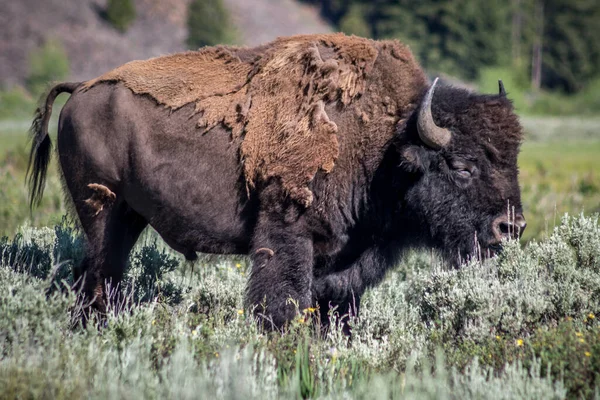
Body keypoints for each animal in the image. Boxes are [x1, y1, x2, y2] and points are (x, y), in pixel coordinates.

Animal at [27, 33, 524, 328]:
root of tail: (82, 88)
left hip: (128, 217)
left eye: (513, 160)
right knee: (99, 274)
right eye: (461, 166)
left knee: (97, 274)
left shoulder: (345, 264)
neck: (385, 143)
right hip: (103, 211)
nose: (510, 227)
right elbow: (283, 301)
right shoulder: (288, 234)